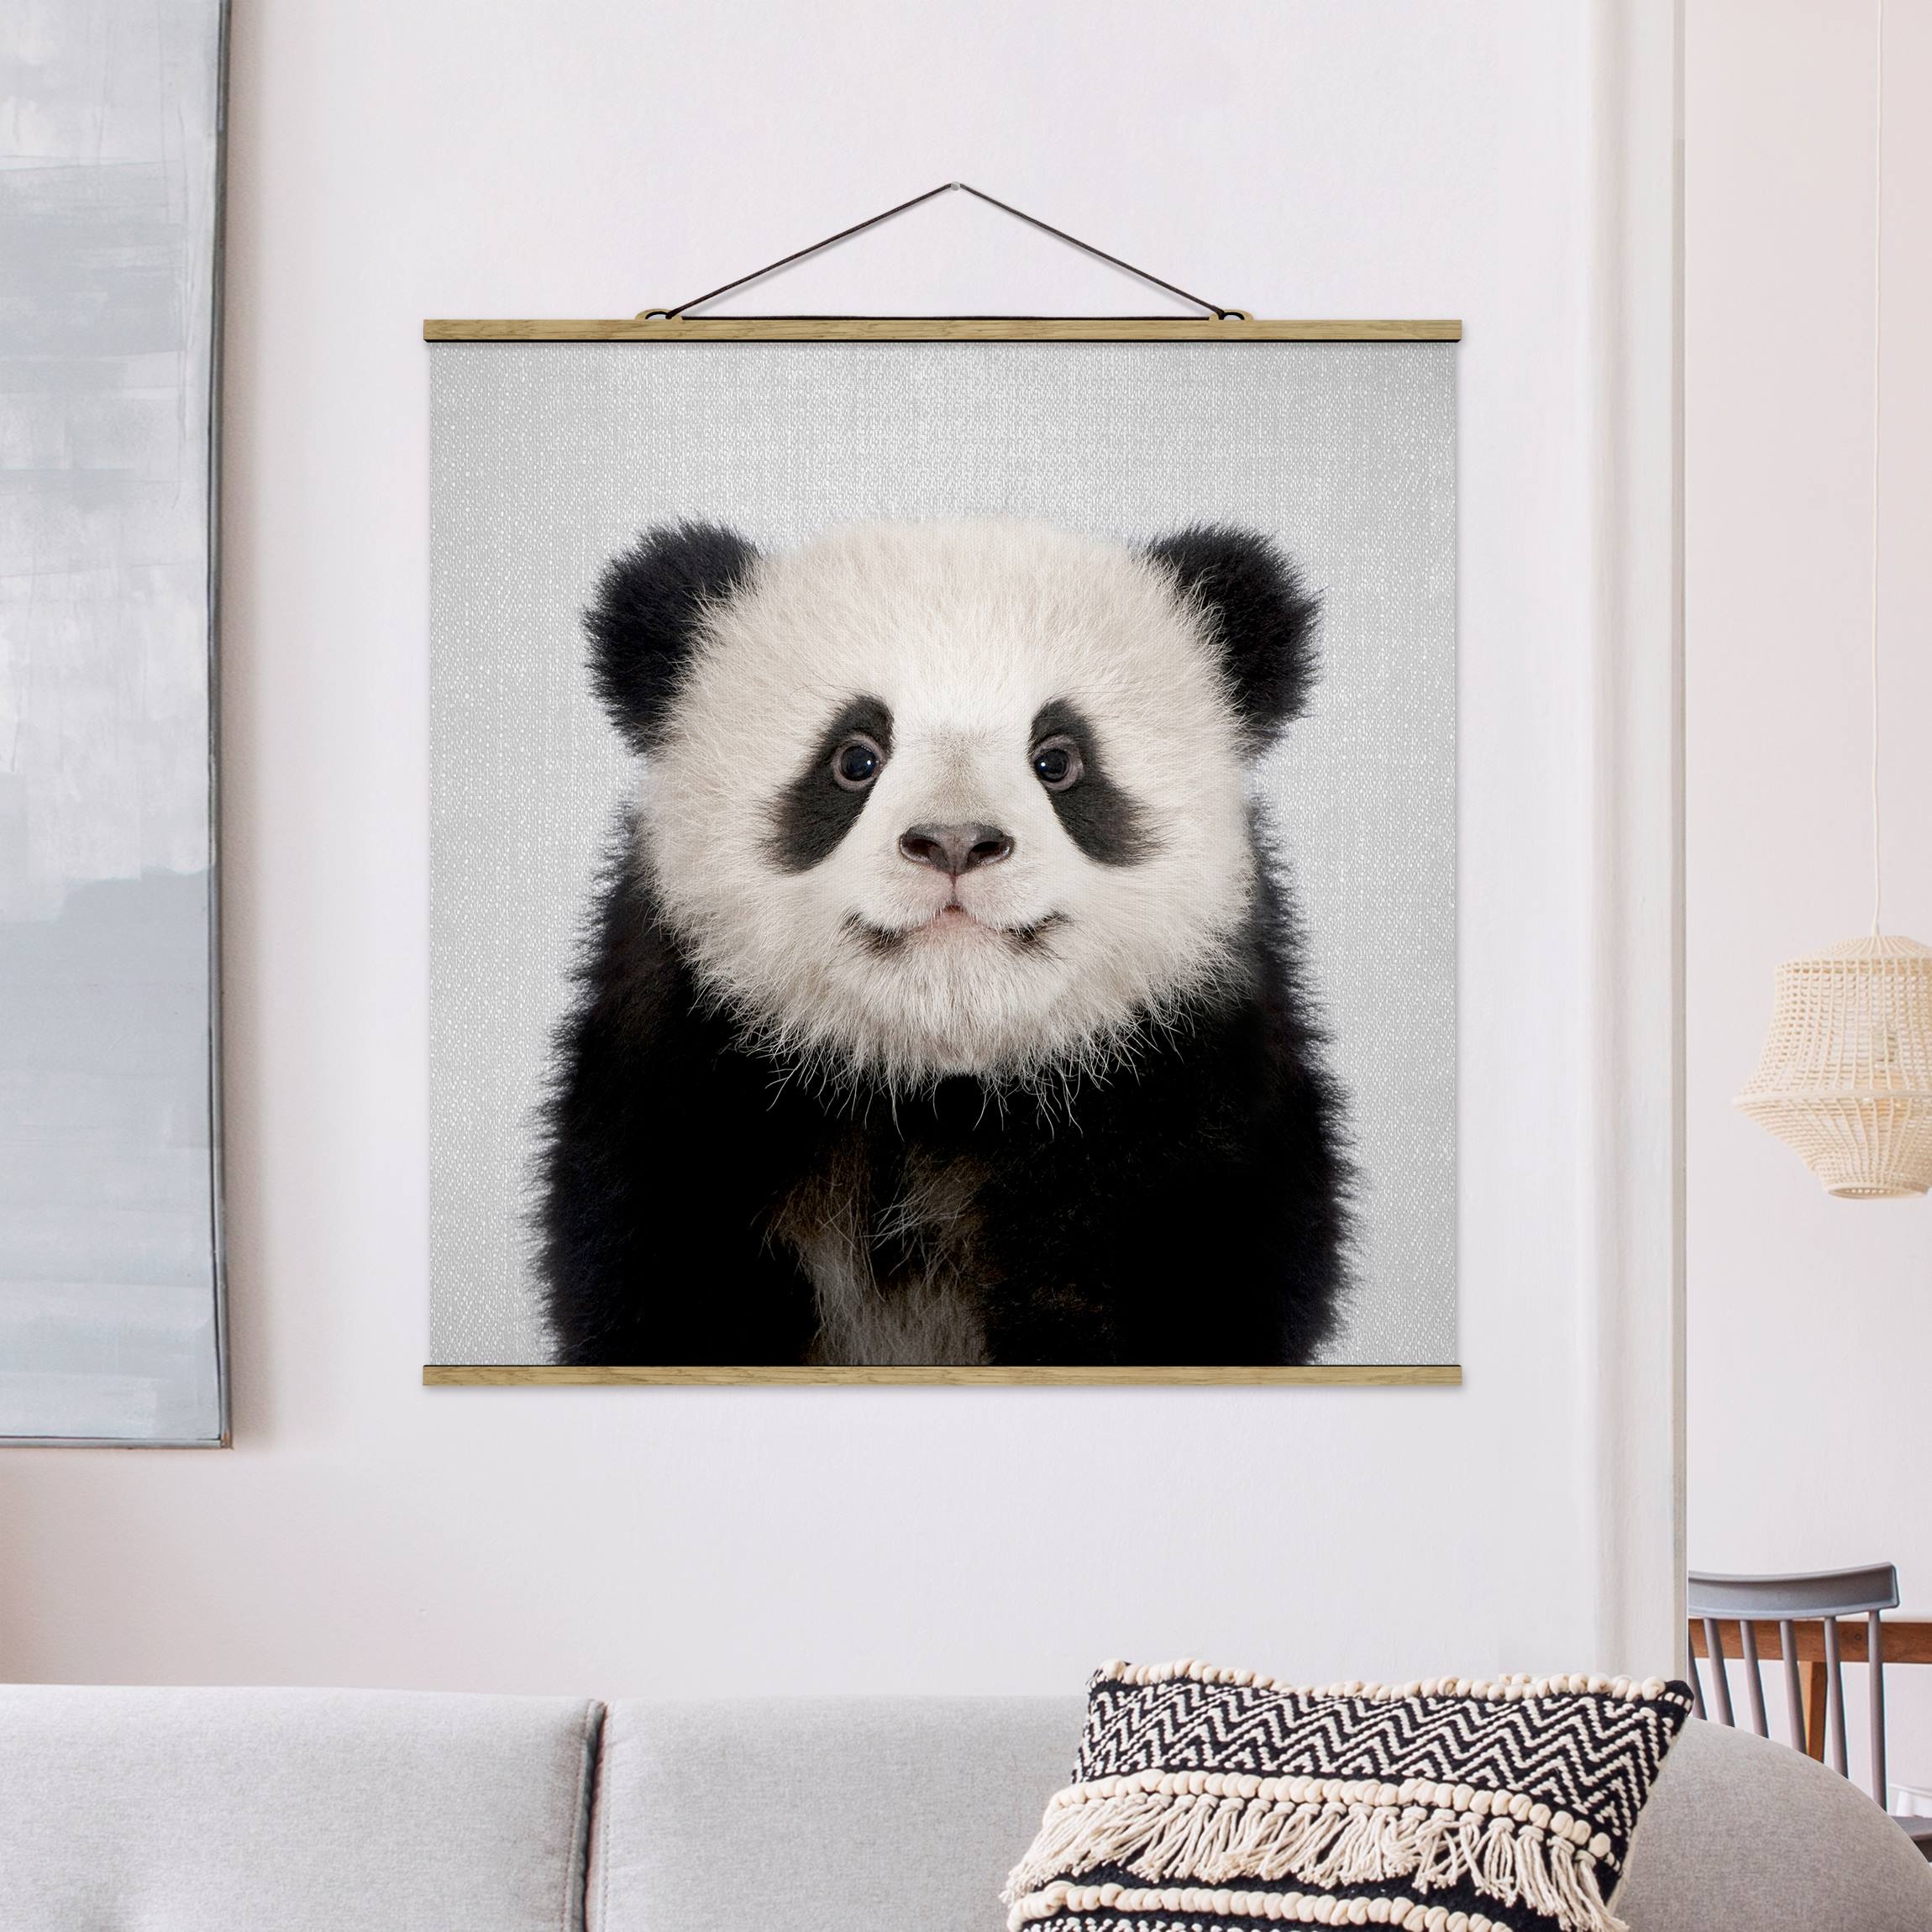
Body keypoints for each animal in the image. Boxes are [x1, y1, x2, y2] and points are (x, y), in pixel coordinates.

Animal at [537, 517, 1350, 1367]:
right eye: (855, 758)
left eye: (1057, 760)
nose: (956, 842)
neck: (938, 1089)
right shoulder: (685, 1092)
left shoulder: (1185, 1095)